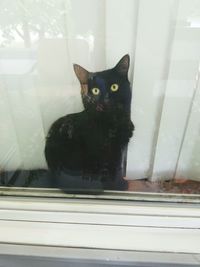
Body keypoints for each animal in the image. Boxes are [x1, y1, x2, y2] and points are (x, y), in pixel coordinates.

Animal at [44, 54, 134, 191]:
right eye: (95, 90)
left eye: (114, 87)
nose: (105, 100)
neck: (112, 122)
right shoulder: (103, 152)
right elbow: (112, 170)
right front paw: (118, 186)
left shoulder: (118, 149)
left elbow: (117, 167)